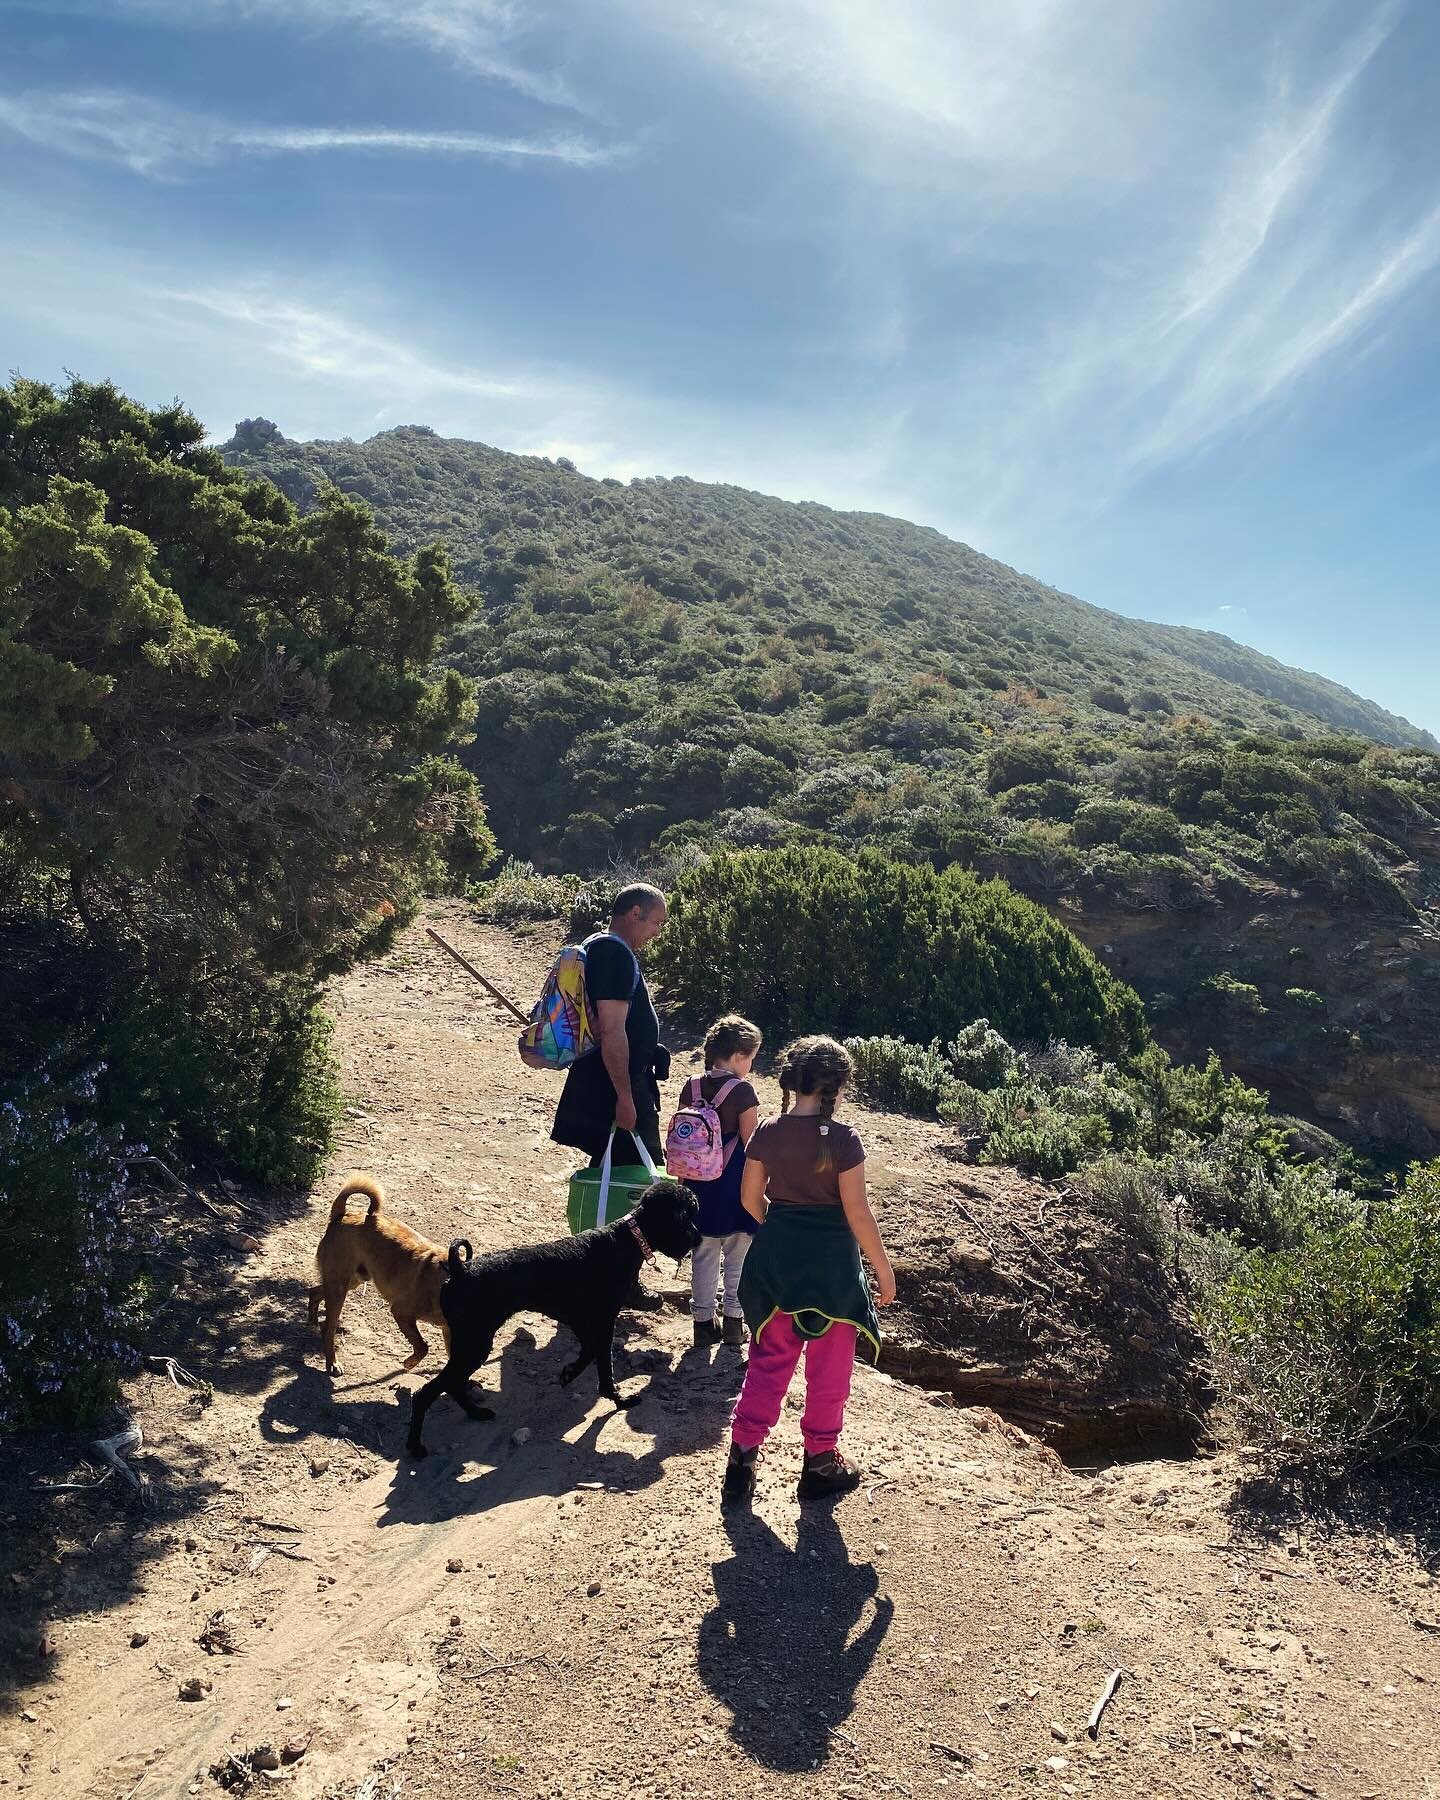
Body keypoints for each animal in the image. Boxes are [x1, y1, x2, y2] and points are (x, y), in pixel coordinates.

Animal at [309, 1173, 450, 1368]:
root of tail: (341, 1216)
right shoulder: (401, 1312)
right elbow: (422, 1346)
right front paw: (410, 1363)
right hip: (339, 1288)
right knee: (328, 1328)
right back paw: (332, 1363)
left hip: (350, 1281)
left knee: (314, 1292)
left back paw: (312, 1321)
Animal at [401, 1180, 702, 1461]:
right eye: (685, 1215)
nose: (697, 1239)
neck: (625, 1241)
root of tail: (461, 1270)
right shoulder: (603, 1320)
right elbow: (605, 1365)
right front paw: (618, 1398)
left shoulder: (581, 1319)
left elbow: (588, 1353)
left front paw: (569, 1373)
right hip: (475, 1344)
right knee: (427, 1392)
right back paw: (416, 1445)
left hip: (471, 1344)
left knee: (452, 1384)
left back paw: (476, 1413)